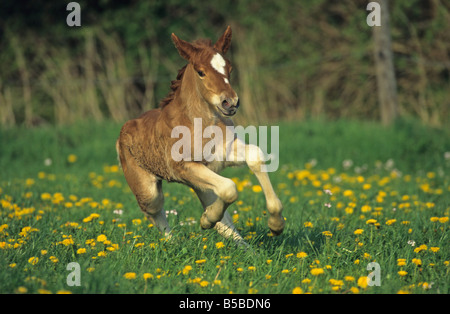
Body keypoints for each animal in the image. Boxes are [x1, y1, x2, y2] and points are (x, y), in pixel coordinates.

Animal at [117, 25, 284, 244]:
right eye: (201, 72)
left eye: (229, 69)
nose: (230, 102)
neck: (201, 124)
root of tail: (125, 127)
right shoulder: (181, 167)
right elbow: (229, 188)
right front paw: (205, 220)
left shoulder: (220, 155)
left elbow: (254, 156)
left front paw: (276, 224)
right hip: (147, 189)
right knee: (154, 210)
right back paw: (172, 243)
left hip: (202, 184)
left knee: (224, 222)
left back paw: (248, 250)